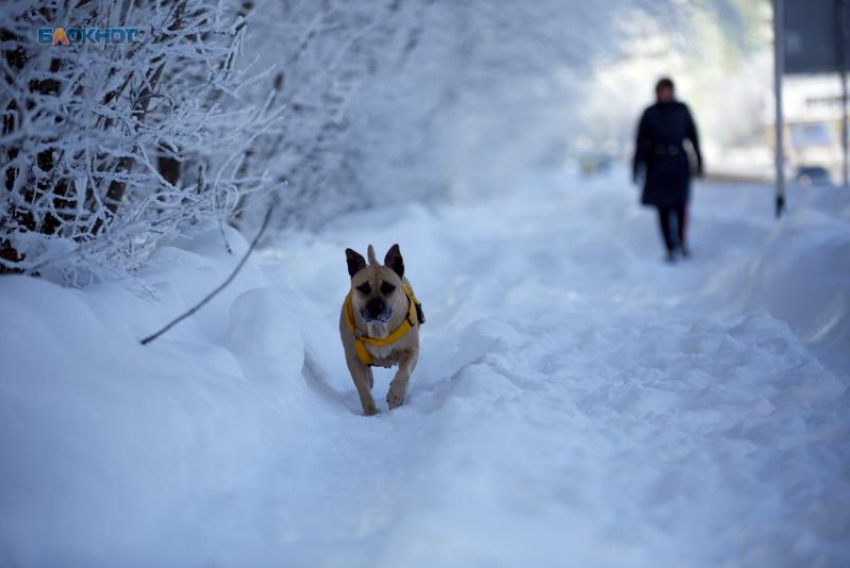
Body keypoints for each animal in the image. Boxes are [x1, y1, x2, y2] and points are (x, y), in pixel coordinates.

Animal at [338, 242, 424, 414]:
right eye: (364, 288)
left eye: (388, 287)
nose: (375, 307)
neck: (378, 328)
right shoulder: (353, 358)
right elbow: (362, 388)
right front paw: (371, 412)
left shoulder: (411, 349)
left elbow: (404, 372)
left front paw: (396, 395)